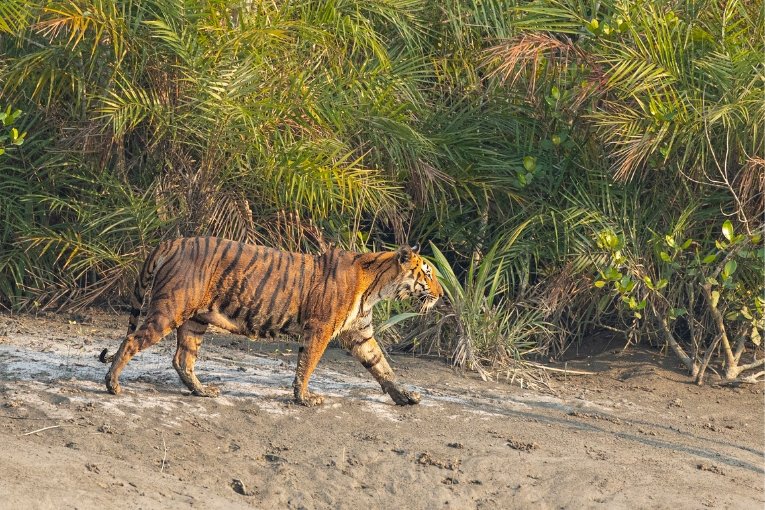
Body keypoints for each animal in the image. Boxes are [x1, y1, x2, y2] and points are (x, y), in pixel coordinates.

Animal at [98, 237, 442, 408]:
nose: (440, 294)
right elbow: (307, 365)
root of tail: (172, 241)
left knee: (182, 358)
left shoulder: (361, 334)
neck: (377, 287)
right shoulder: (320, 329)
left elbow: (382, 367)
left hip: (195, 320)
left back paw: (203, 391)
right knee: (132, 340)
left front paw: (404, 396)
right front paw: (304, 399)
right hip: (170, 310)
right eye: (427, 274)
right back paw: (112, 385)